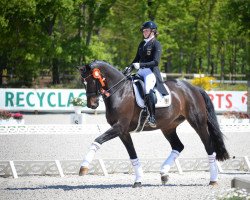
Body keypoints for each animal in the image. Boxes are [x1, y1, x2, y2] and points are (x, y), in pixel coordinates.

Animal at [77, 59, 229, 188]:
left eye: (92, 80)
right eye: (83, 82)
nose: (92, 105)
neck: (120, 92)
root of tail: (194, 88)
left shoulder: (119, 127)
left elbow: (97, 140)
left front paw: (83, 167)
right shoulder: (123, 132)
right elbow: (132, 154)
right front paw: (138, 180)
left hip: (198, 123)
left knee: (209, 146)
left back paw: (213, 180)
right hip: (168, 127)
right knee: (178, 146)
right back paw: (164, 173)